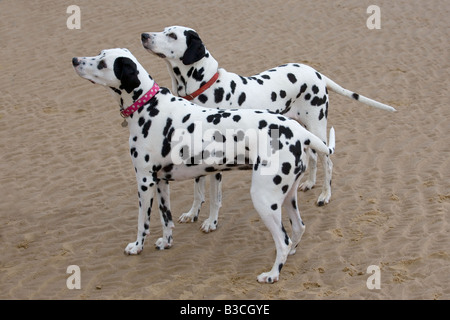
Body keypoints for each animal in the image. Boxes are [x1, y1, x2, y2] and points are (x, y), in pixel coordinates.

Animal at [73, 47, 334, 282]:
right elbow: (166, 219)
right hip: (287, 196)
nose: (75, 60)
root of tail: (298, 131)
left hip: (264, 199)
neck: (148, 107)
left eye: (103, 63)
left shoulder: (145, 182)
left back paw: (272, 275)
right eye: (100, 53)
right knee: (299, 228)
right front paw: (166, 242)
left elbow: (142, 222)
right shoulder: (161, 182)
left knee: (283, 240)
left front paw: (137, 246)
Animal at [142, 25, 398, 230]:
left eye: (172, 35)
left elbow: (214, 197)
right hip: (301, 129)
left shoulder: (216, 165)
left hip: (317, 126)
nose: (144, 35)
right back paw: (310, 183)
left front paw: (211, 222)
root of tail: (316, 73)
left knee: (328, 161)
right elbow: (198, 191)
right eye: (164, 30)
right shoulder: (198, 159)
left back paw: (325, 194)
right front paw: (192, 213)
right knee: (313, 156)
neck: (204, 87)